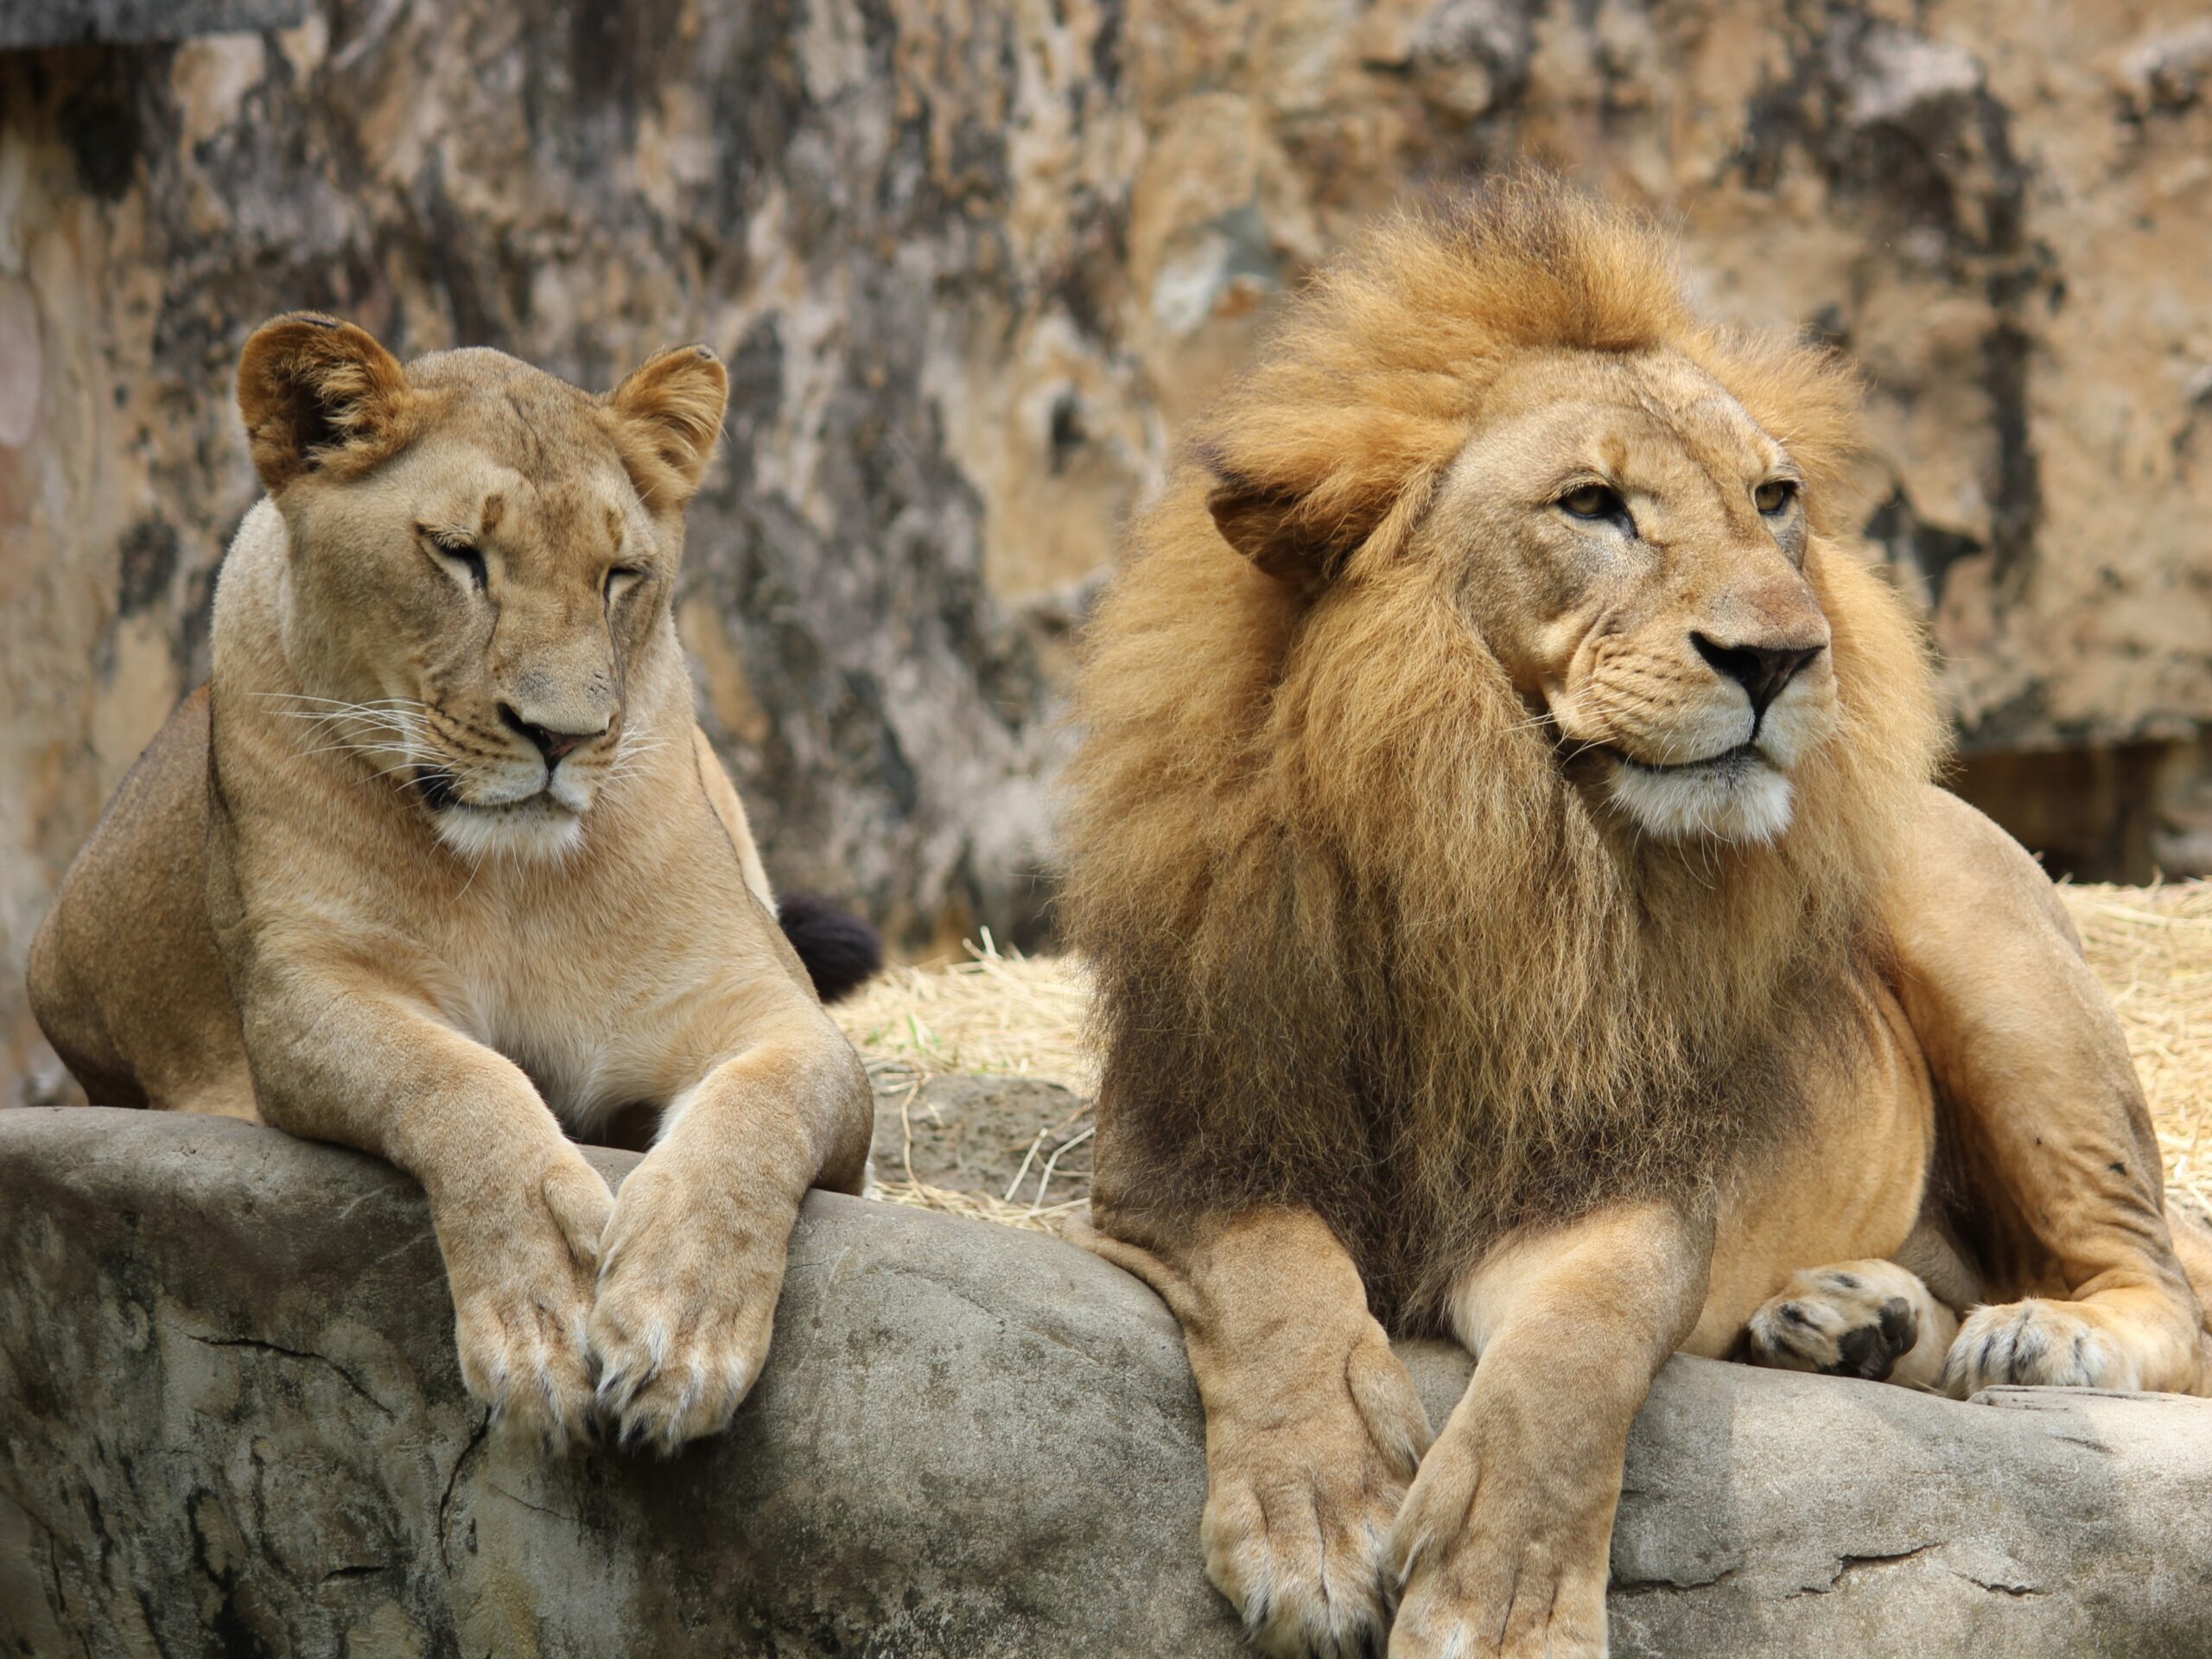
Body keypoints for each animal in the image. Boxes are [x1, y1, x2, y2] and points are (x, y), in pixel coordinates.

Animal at [26, 315, 876, 1454]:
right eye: (459, 554)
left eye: (621, 574)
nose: (564, 735)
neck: (513, 882)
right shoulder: (304, 995)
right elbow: (456, 1080)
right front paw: (546, 1306)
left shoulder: (772, 1008)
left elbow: (760, 1115)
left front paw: (683, 1323)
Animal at [1062, 178, 2212, 1658]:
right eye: (1592, 504)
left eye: (1773, 498)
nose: (1785, 656)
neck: (1493, 850)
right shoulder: (1187, 1151)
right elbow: (1280, 1286)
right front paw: (1316, 1521)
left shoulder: (1613, 1186)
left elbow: (1568, 1369)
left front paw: (1497, 1606)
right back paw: (1856, 1319)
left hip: (1998, 961)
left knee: (2159, 1284)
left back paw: (2043, 1336)